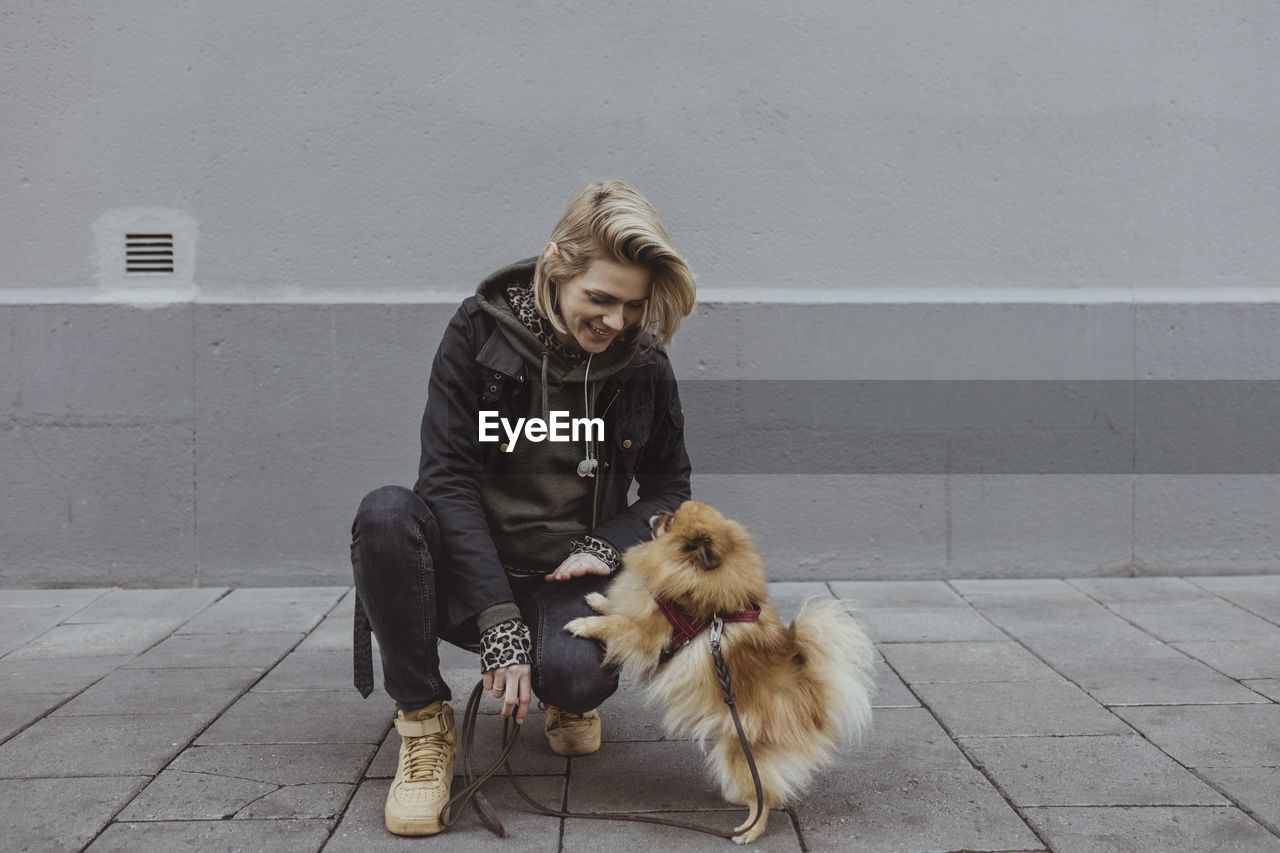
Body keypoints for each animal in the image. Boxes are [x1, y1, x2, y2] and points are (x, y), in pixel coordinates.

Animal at [565, 502, 875, 840]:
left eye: (670, 522)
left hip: (740, 752)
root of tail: (813, 696)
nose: (657, 512)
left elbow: (616, 624)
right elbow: (618, 608)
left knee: (764, 796)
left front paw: (585, 624)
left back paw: (748, 832)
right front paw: (597, 599)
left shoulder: (646, 635)